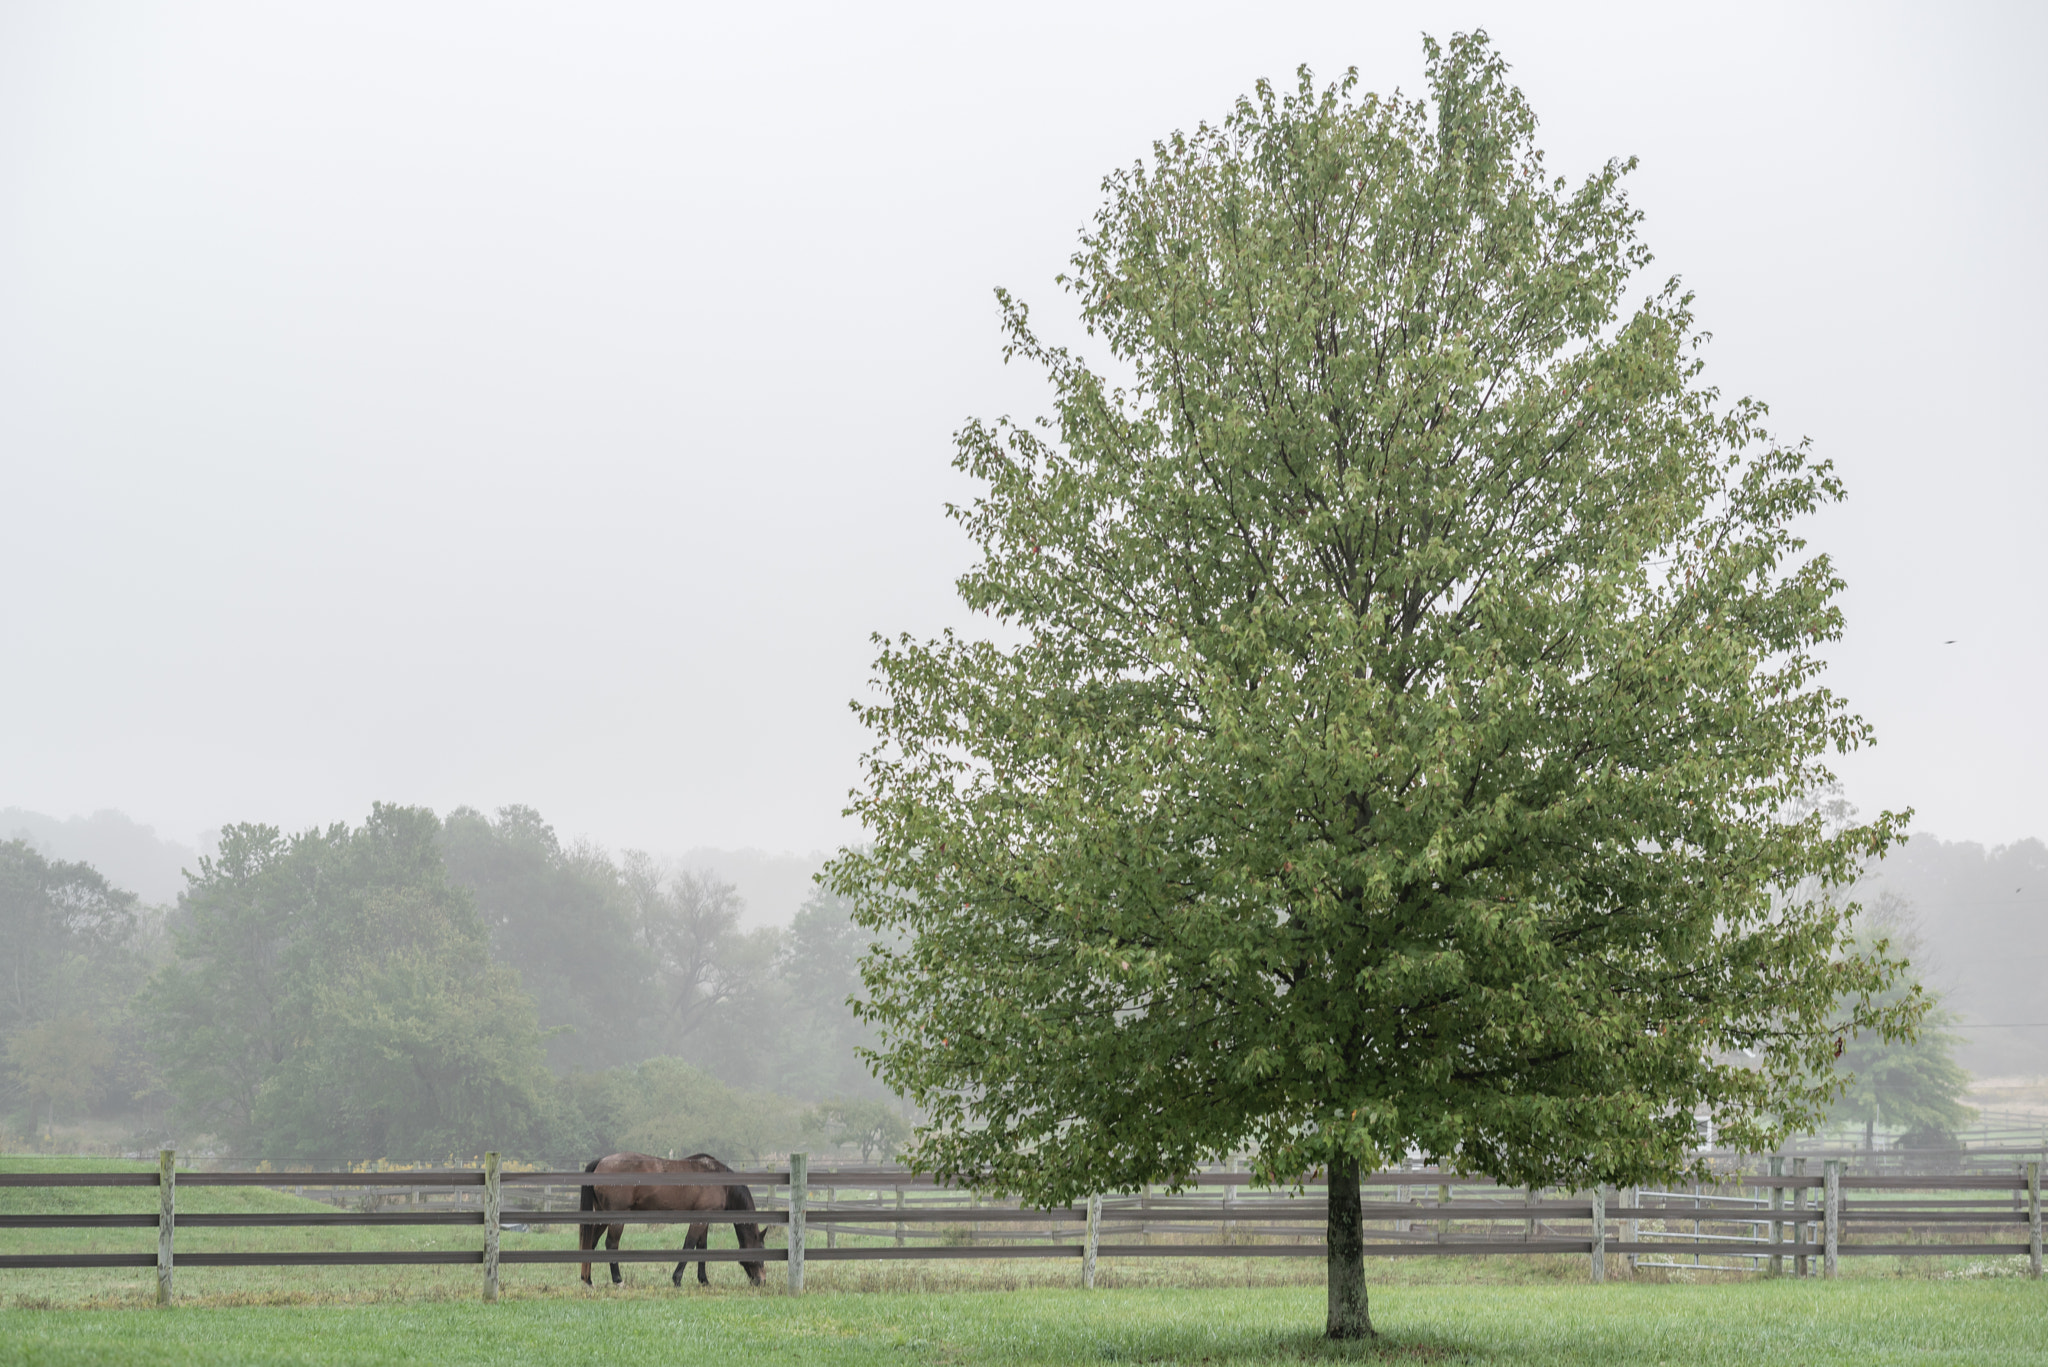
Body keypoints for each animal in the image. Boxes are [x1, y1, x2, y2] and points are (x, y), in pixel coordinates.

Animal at [577, 1147, 770, 1287]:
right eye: (761, 1250)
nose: (761, 1281)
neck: (722, 1183)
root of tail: (601, 1162)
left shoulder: (705, 1219)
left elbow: (702, 1247)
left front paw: (704, 1280)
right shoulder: (700, 1219)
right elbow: (689, 1244)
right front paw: (677, 1279)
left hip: (602, 1215)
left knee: (592, 1242)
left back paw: (588, 1280)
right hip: (616, 1218)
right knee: (611, 1244)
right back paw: (618, 1280)